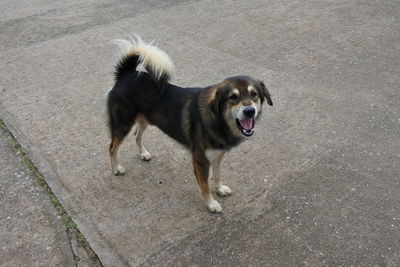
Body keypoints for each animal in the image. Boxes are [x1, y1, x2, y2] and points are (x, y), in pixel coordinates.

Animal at [108, 36, 274, 215]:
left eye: (254, 94)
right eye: (233, 97)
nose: (249, 111)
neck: (218, 119)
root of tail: (126, 74)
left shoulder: (218, 155)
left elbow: (217, 175)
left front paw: (220, 189)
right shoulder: (200, 160)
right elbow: (205, 186)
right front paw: (211, 204)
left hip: (145, 119)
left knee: (137, 134)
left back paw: (143, 153)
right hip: (122, 124)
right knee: (112, 147)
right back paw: (116, 168)